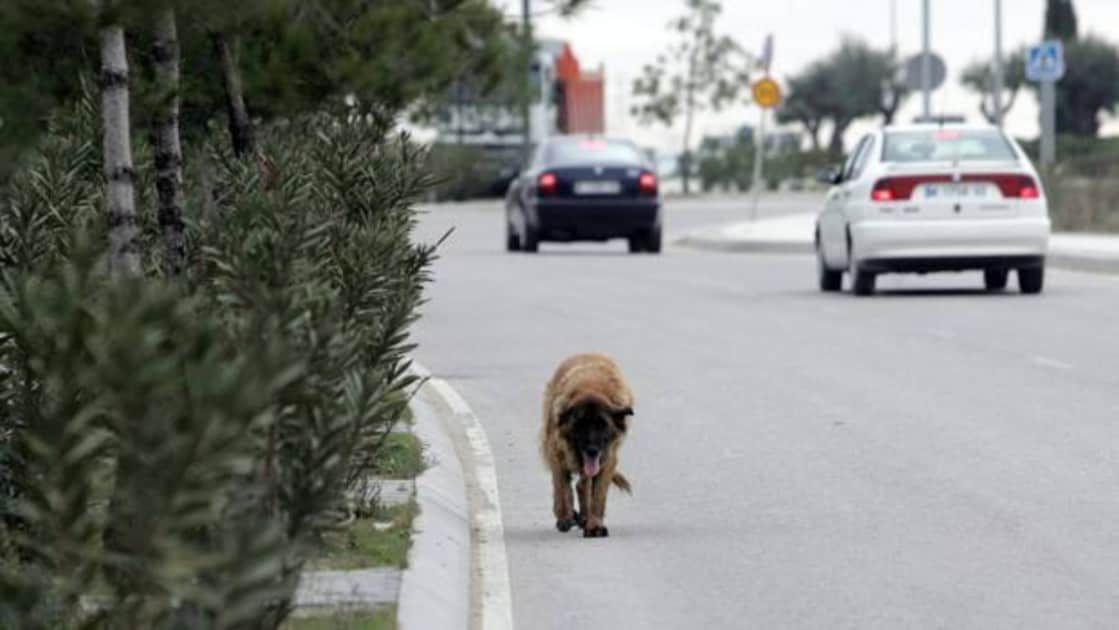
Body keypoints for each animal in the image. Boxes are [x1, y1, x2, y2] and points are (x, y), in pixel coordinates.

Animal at [539, 355, 631, 537]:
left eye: (602, 424)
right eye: (580, 424)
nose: (592, 450)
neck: (591, 387)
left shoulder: (607, 460)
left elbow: (597, 497)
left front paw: (594, 525)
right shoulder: (556, 453)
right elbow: (561, 489)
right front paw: (564, 517)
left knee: (582, 485)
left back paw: (583, 517)